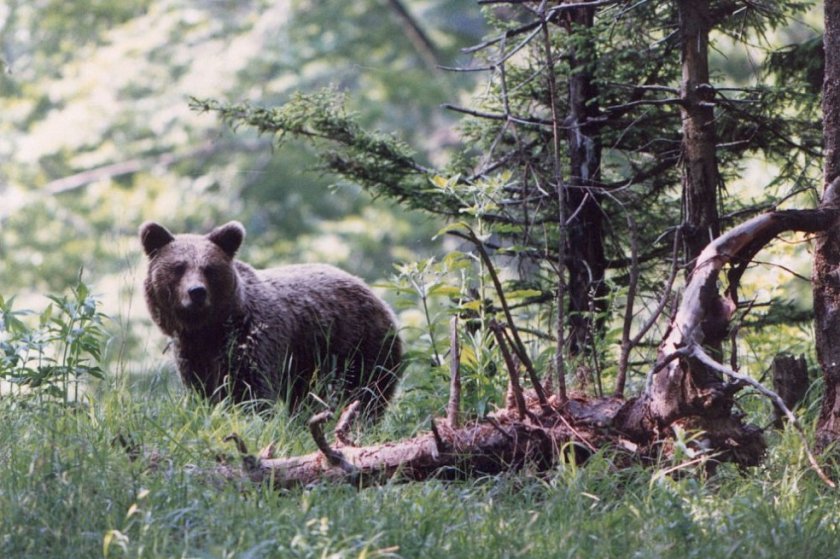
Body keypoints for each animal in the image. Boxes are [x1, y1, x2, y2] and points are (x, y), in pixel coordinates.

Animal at [140, 221, 404, 418]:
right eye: (179, 267)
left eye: (209, 268)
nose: (196, 292)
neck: (210, 330)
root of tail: (379, 299)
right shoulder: (192, 352)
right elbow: (201, 389)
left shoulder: (254, 340)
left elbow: (250, 390)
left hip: (360, 346)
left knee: (366, 393)